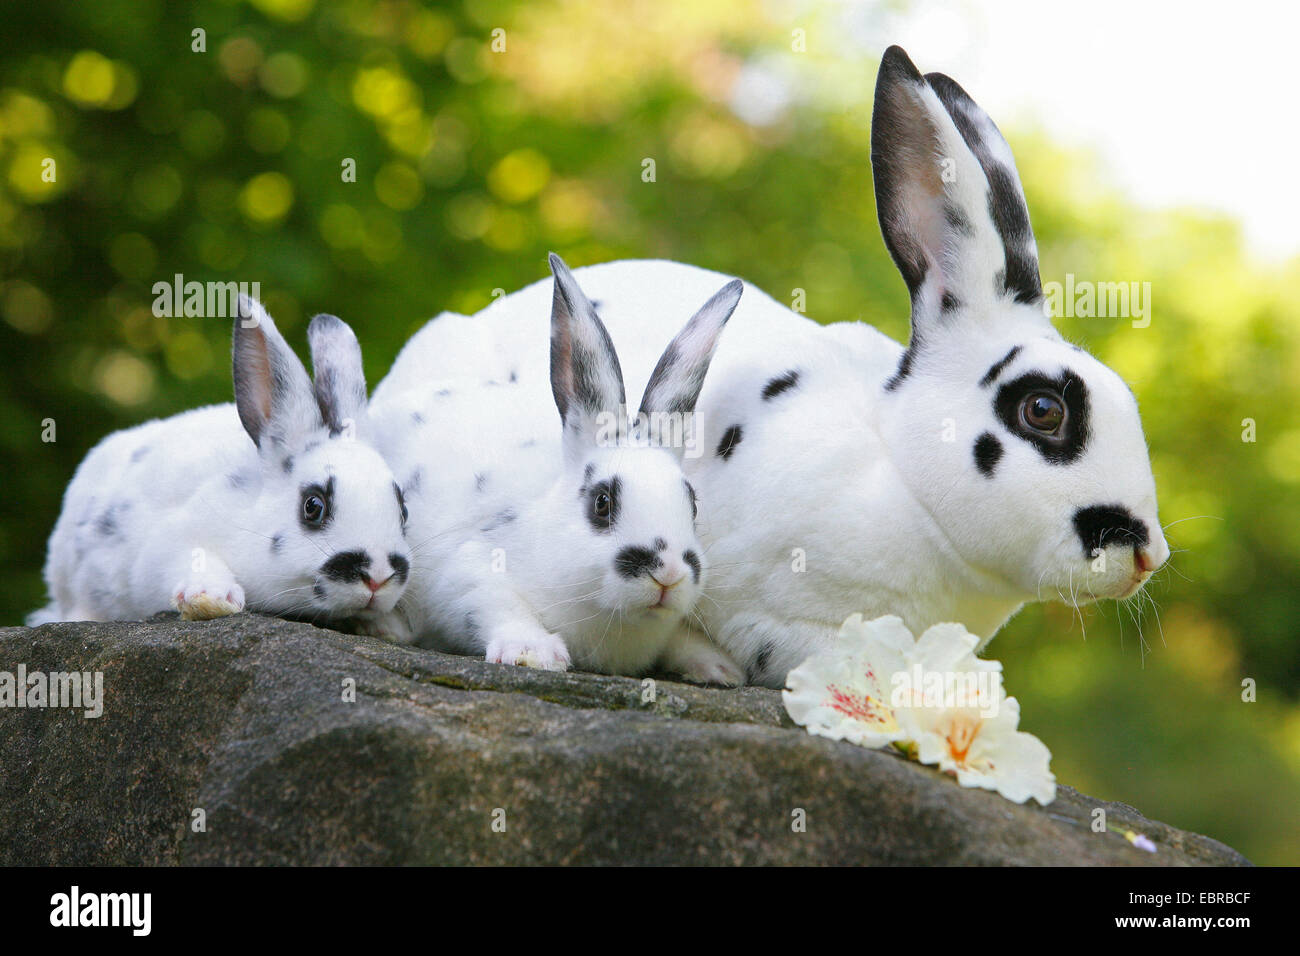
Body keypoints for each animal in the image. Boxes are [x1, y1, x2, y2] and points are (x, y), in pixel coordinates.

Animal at [31, 293, 410, 634]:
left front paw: (387, 627)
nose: (377, 577)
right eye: (313, 506)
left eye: (403, 509)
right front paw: (212, 598)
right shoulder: (168, 546)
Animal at [371, 257, 748, 686]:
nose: (668, 572)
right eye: (602, 503)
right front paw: (533, 654)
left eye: (693, 505)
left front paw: (720, 669)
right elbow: (496, 606)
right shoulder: (467, 574)